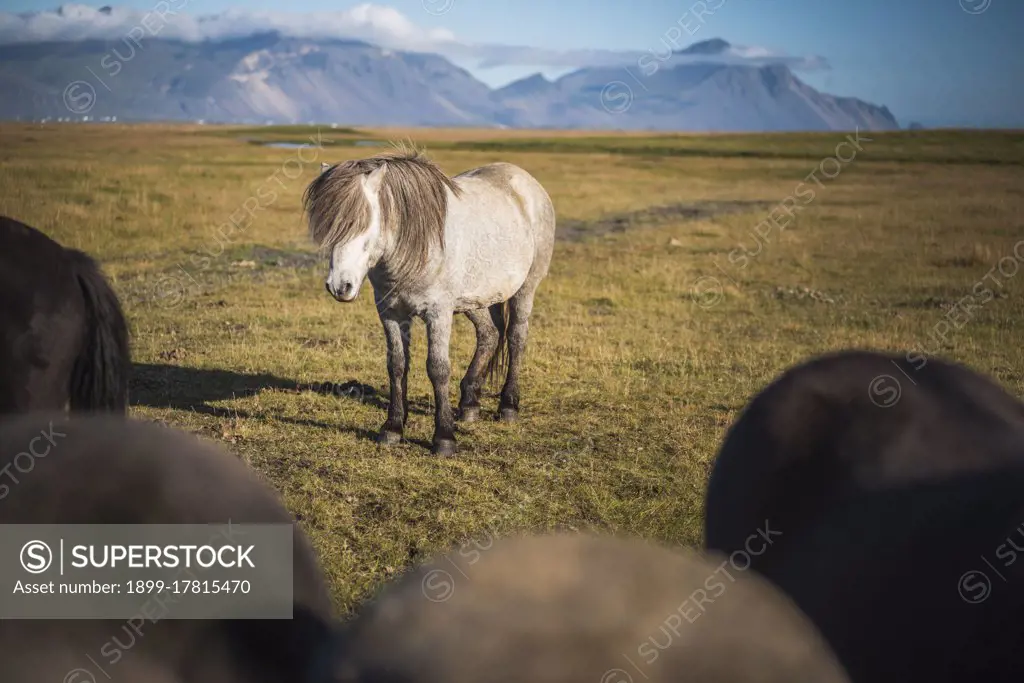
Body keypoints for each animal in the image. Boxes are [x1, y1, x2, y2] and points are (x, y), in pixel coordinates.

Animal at [303, 147, 557, 456]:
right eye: (329, 227)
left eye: (364, 225)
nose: (340, 286)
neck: (412, 248)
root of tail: (526, 181)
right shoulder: (390, 312)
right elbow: (397, 364)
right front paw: (393, 428)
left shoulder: (438, 313)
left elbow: (438, 368)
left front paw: (444, 437)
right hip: (477, 300)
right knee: (489, 334)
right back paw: (470, 403)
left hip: (525, 289)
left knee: (516, 338)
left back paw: (508, 406)